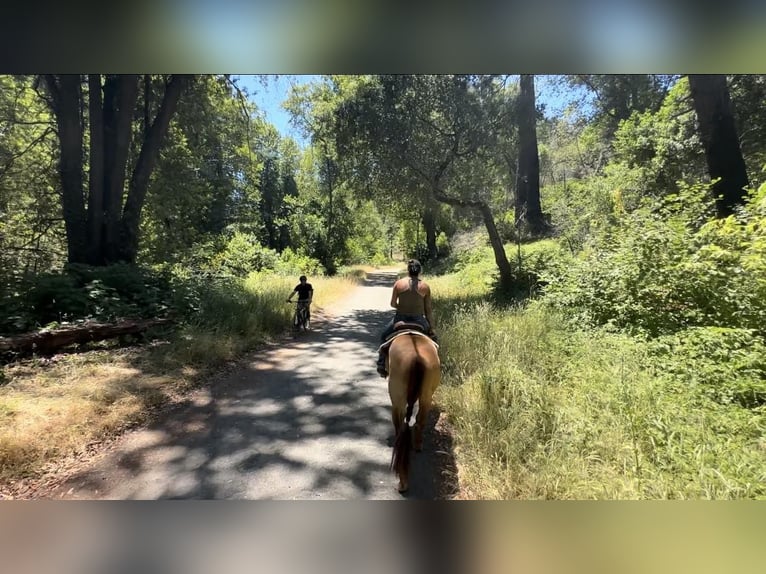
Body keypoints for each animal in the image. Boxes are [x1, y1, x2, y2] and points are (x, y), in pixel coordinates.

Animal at [388, 332, 440, 496]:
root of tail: (417, 358)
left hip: (397, 398)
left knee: (400, 425)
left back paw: (403, 483)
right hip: (426, 395)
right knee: (420, 421)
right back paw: (417, 445)